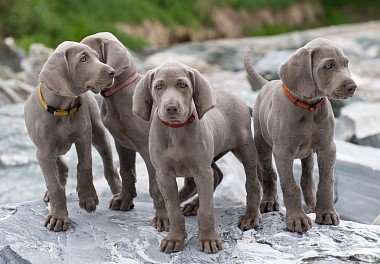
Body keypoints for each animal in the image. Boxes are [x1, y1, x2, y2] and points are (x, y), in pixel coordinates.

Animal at [23, 41, 121, 231]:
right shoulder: (43, 152)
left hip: (98, 133)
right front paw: (58, 217)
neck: (63, 109)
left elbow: (84, 165)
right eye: (83, 59)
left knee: (109, 165)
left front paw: (88, 197)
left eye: (96, 56)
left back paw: (119, 193)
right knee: (60, 166)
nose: (112, 71)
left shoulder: (84, 135)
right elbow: (54, 185)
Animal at [133, 62, 262, 254]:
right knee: (217, 175)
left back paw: (250, 216)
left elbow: (207, 210)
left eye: (183, 85)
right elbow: (173, 210)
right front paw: (174, 238)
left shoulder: (201, 171)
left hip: (245, 149)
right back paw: (190, 203)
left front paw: (208, 239)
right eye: (158, 87)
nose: (171, 108)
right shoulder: (164, 175)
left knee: (252, 182)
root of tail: (242, 102)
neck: (176, 131)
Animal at [245, 37, 358, 233]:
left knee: (307, 178)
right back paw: (269, 202)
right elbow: (290, 185)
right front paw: (297, 219)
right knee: (269, 173)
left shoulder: (327, 148)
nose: (353, 87)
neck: (309, 108)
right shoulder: (283, 152)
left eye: (346, 63)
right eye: (328, 65)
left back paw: (312, 205)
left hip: (307, 153)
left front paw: (326, 213)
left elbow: (326, 181)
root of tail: (268, 83)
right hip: (262, 144)